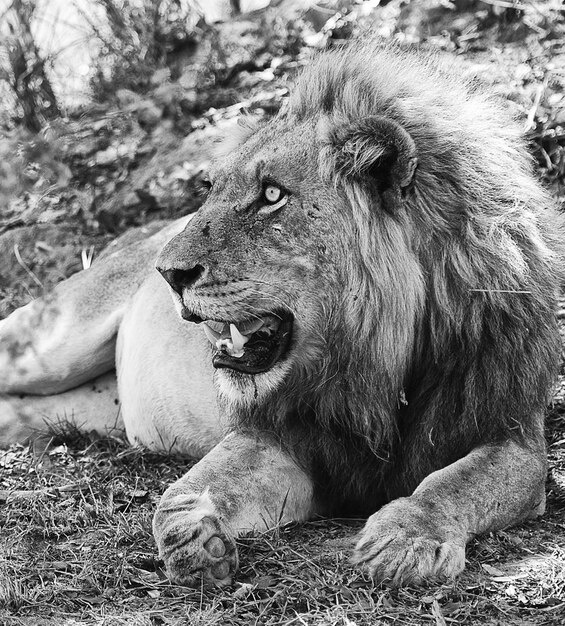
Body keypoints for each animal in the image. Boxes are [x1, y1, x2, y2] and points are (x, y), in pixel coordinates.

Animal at [1, 42, 564, 584]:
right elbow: (184, 494)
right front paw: (194, 534)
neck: (378, 361)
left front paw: (407, 538)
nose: (167, 273)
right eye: (211, 189)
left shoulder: (510, 435)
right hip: (48, 344)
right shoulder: (280, 435)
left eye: (272, 194)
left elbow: (454, 483)